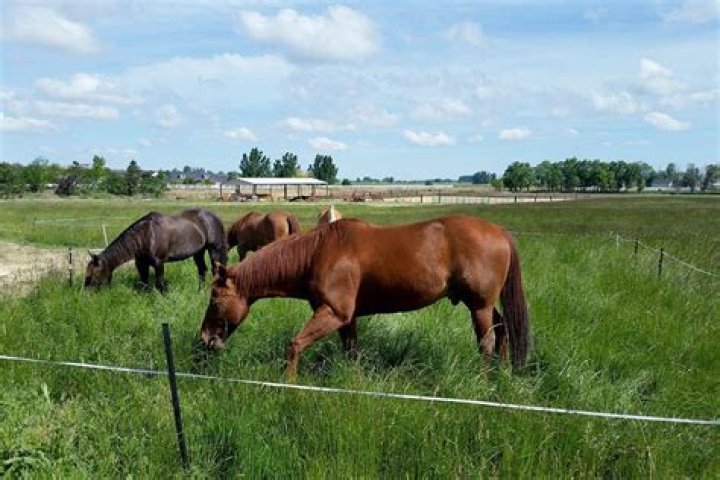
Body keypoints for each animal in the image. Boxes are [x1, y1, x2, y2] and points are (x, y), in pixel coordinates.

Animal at [84, 209, 227, 291]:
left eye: (95, 274)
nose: (86, 294)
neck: (146, 235)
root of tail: (214, 217)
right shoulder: (141, 264)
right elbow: (144, 282)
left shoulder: (159, 263)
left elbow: (160, 283)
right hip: (198, 252)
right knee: (202, 270)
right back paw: (200, 291)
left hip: (214, 249)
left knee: (215, 269)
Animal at [200, 215, 530, 381]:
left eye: (214, 301)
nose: (205, 339)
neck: (318, 252)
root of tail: (499, 231)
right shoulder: (348, 319)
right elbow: (351, 352)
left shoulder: (334, 313)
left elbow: (293, 346)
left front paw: (289, 383)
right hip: (482, 305)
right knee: (503, 331)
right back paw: (503, 375)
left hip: (479, 306)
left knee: (487, 343)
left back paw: (483, 381)